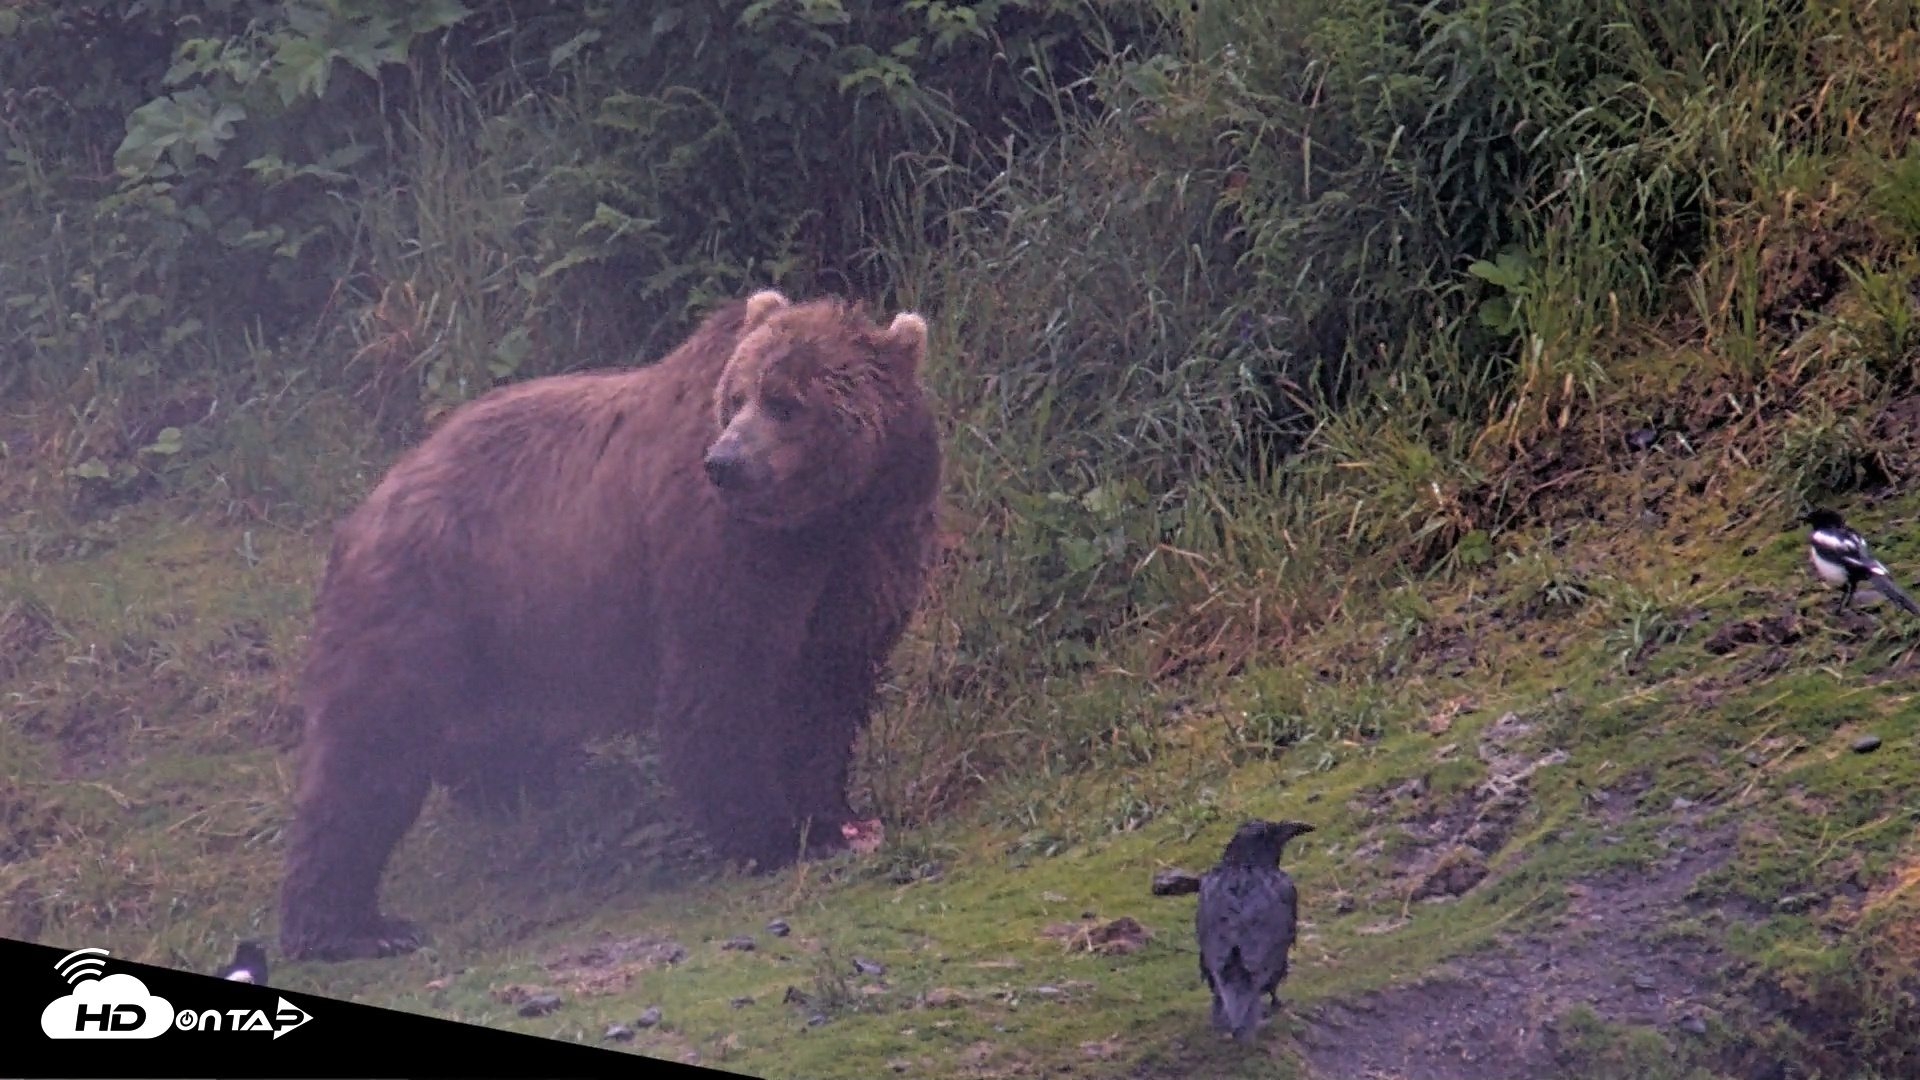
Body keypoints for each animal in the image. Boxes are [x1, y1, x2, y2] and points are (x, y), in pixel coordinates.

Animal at [277, 289, 942, 962]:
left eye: (786, 403)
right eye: (736, 397)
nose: (725, 462)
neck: (823, 520)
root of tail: (369, 503)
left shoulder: (865, 555)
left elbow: (825, 692)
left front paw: (830, 817)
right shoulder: (722, 551)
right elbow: (725, 683)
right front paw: (767, 833)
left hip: (508, 634)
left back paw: (522, 788)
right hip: (426, 602)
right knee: (369, 749)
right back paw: (354, 925)